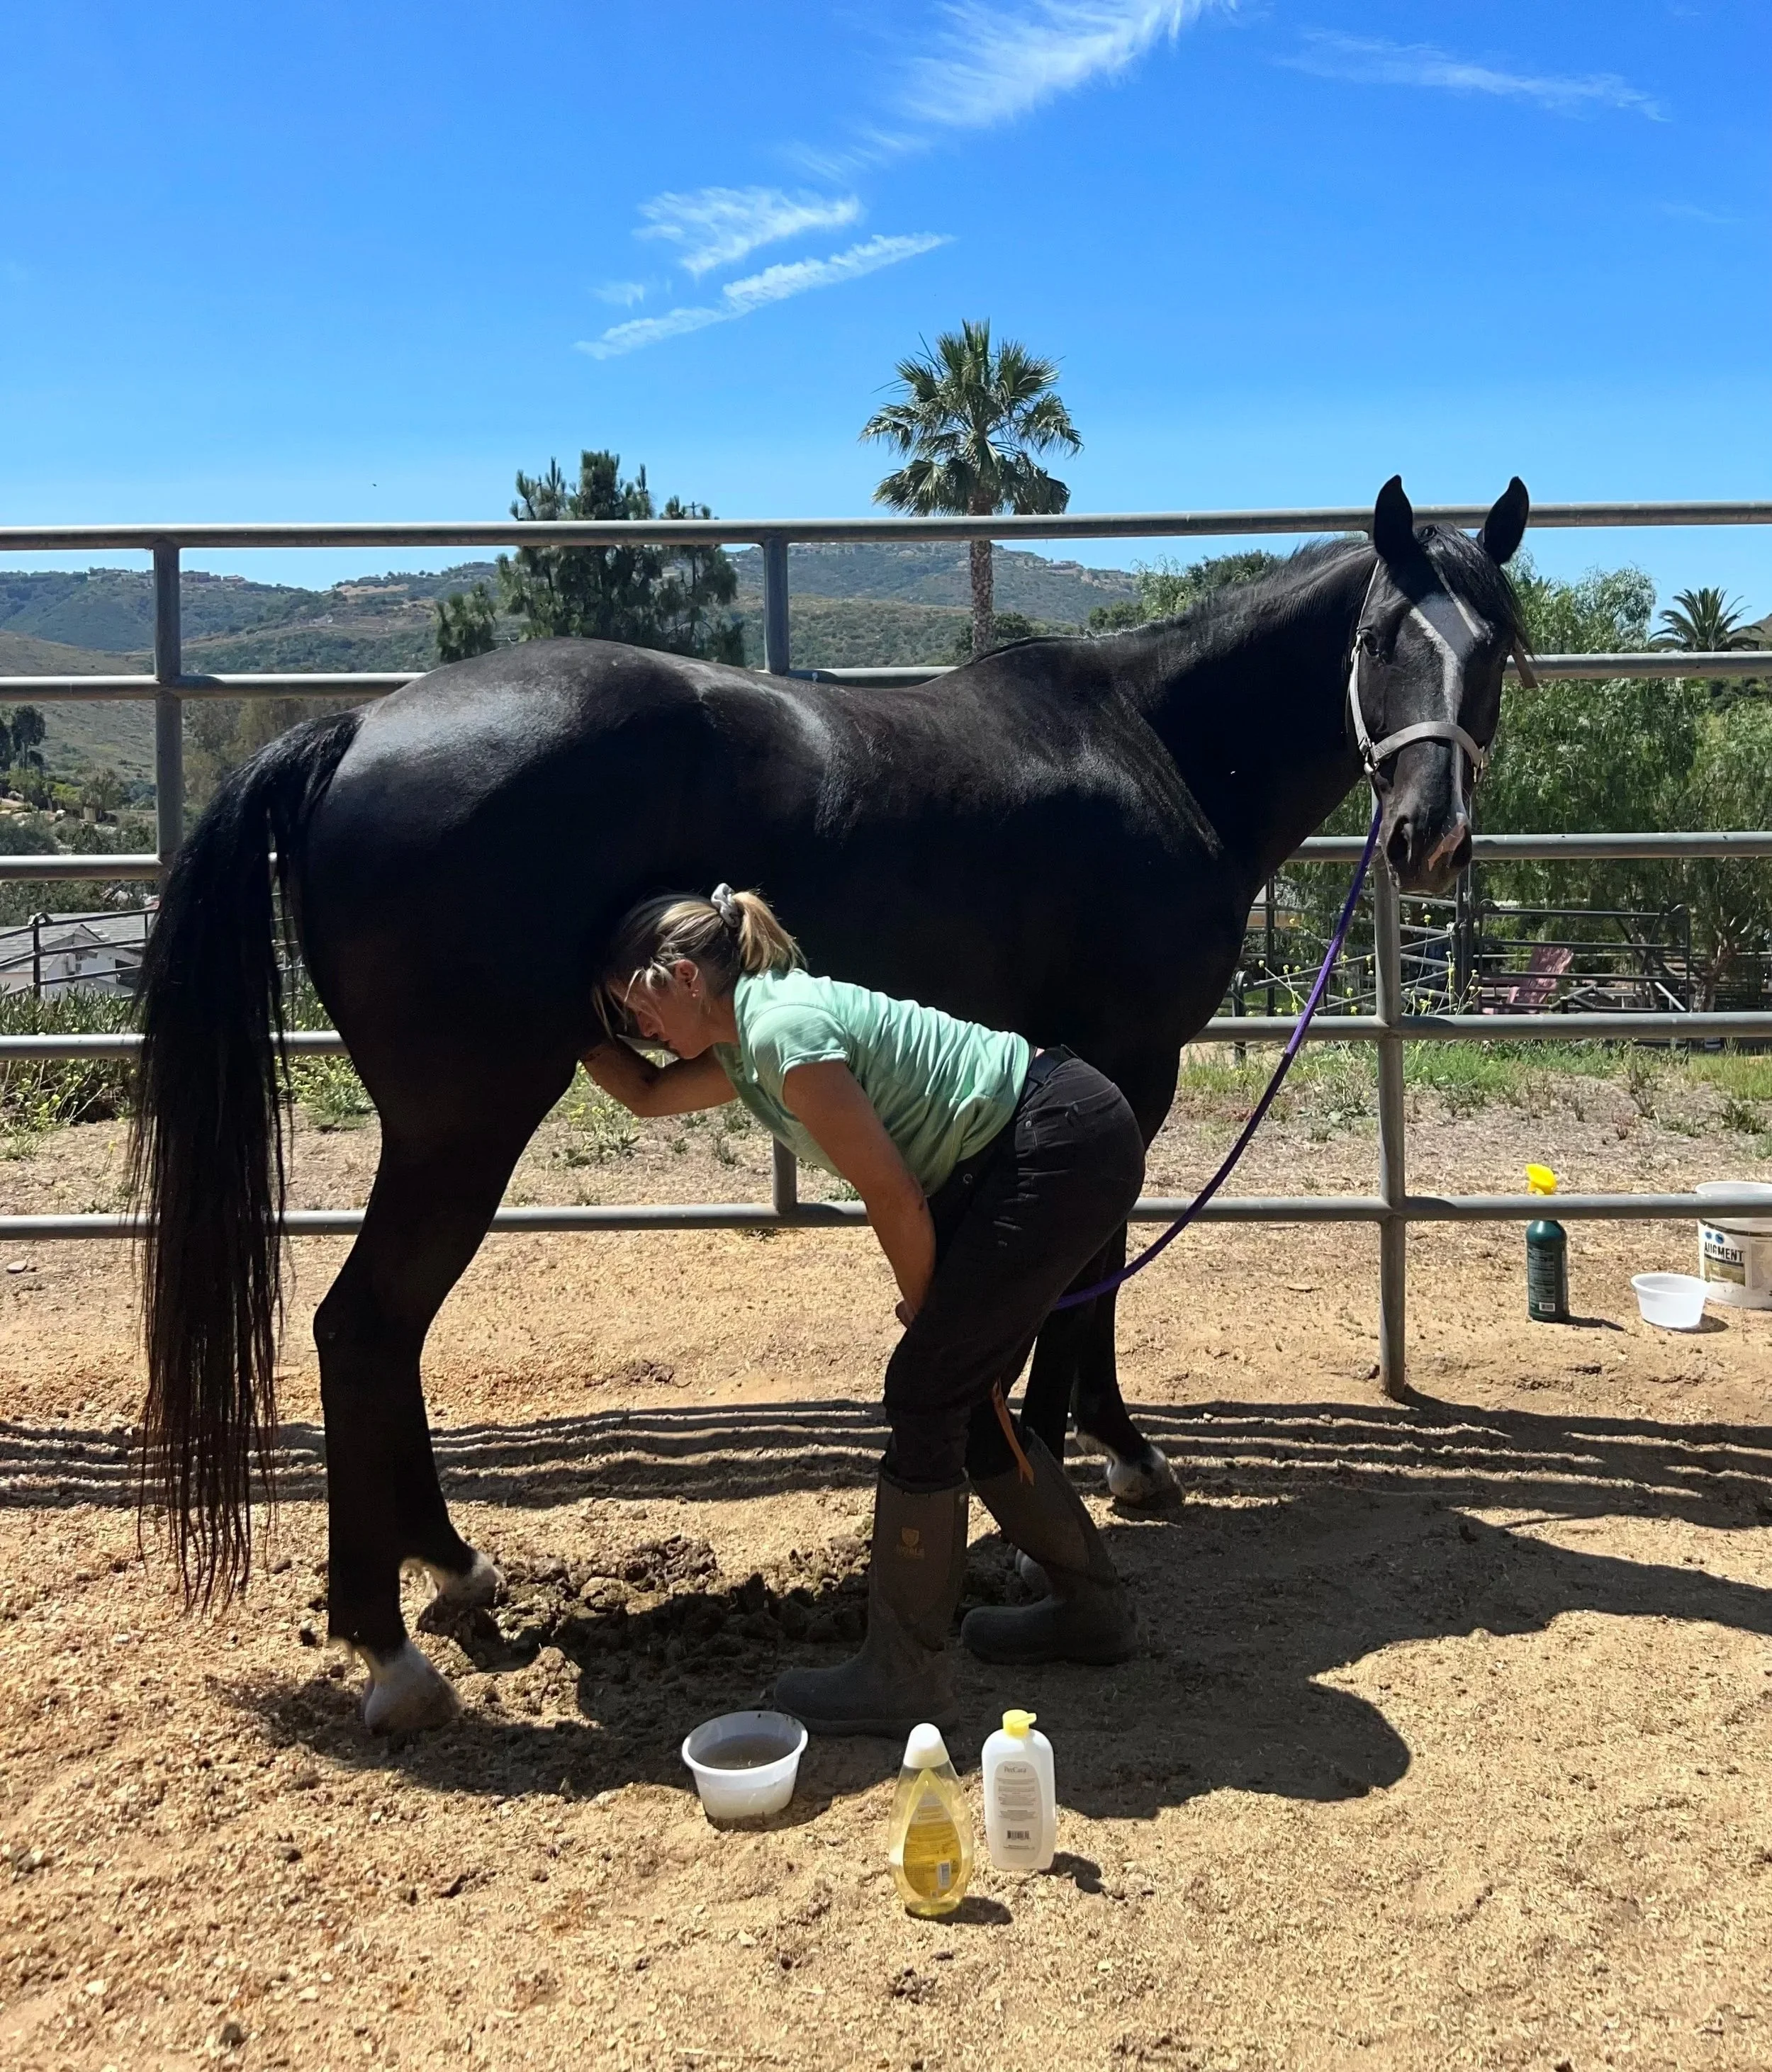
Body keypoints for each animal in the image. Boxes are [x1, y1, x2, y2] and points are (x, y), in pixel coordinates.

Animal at [130, 473, 1531, 1732]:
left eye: (1497, 647)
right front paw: (1098, 1461)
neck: (1154, 741)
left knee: (385, 1335)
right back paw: (390, 1653)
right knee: (365, 1329)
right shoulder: (1134, 1060)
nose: (1432, 836)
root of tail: (358, 733)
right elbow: (1094, 1275)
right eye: (1381, 639)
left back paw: (456, 1570)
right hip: (463, 1124)